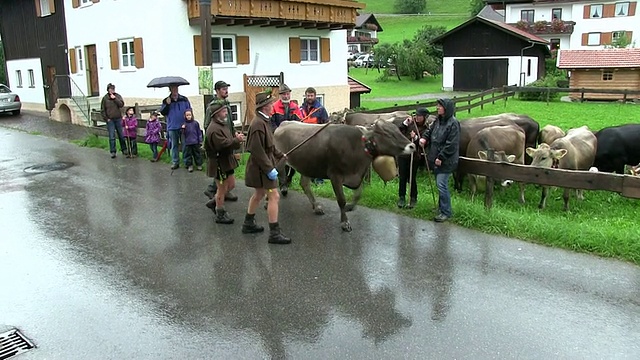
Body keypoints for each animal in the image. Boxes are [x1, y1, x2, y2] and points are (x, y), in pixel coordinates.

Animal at [274, 119, 416, 232]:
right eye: (386, 133)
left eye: (397, 129)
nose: (412, 145)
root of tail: (284, 123)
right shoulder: (335, 175)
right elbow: (341, 199)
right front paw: (345, 222)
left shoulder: (358, 176)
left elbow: (358, 196)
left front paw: (349, 208)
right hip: (279, 162)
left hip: (308, 165)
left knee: (304, 184)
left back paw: (316, 207)